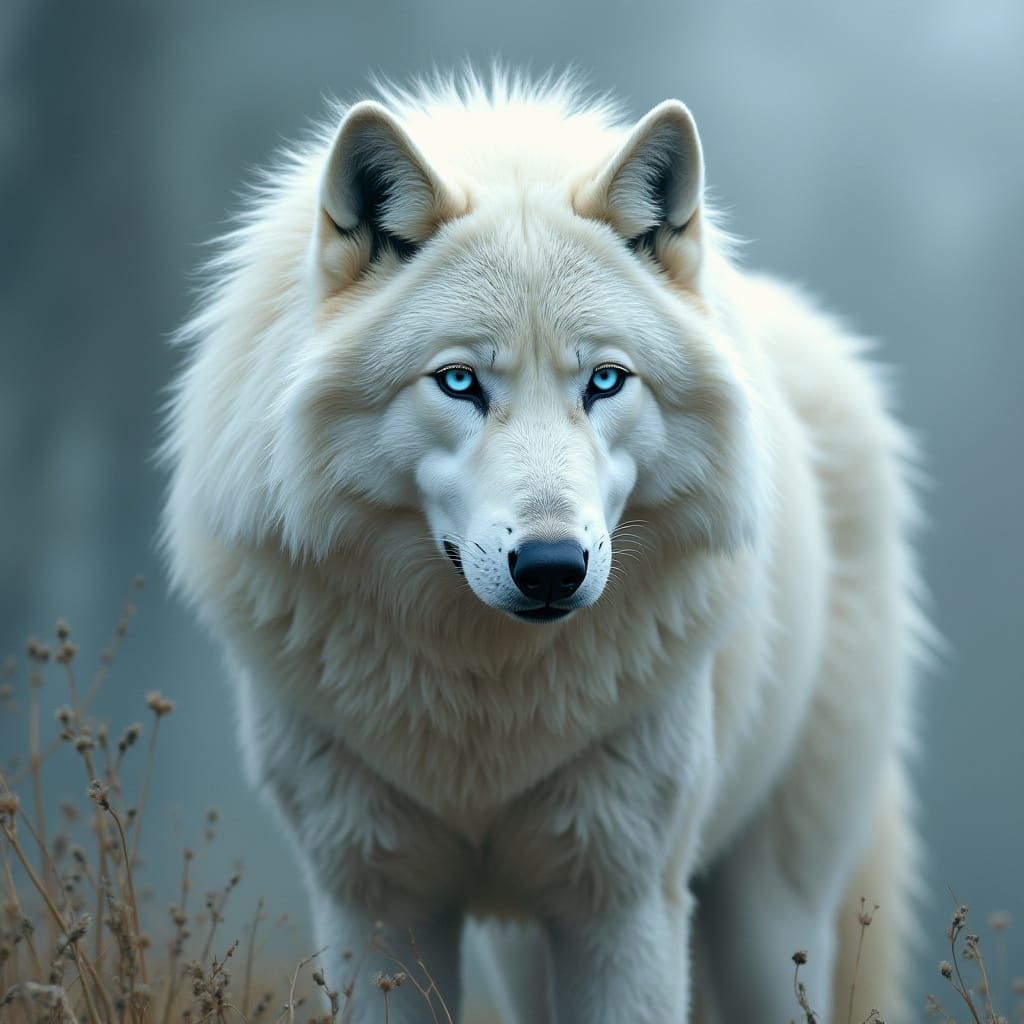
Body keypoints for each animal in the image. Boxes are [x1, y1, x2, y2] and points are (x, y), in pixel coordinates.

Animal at [162, 72, 926, 1023]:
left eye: (604, 380)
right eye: (459, 381)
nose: (554, 567)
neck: (485, 702)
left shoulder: (623, 903)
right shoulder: (373, 903)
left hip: (767, 918)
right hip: (524, 950)